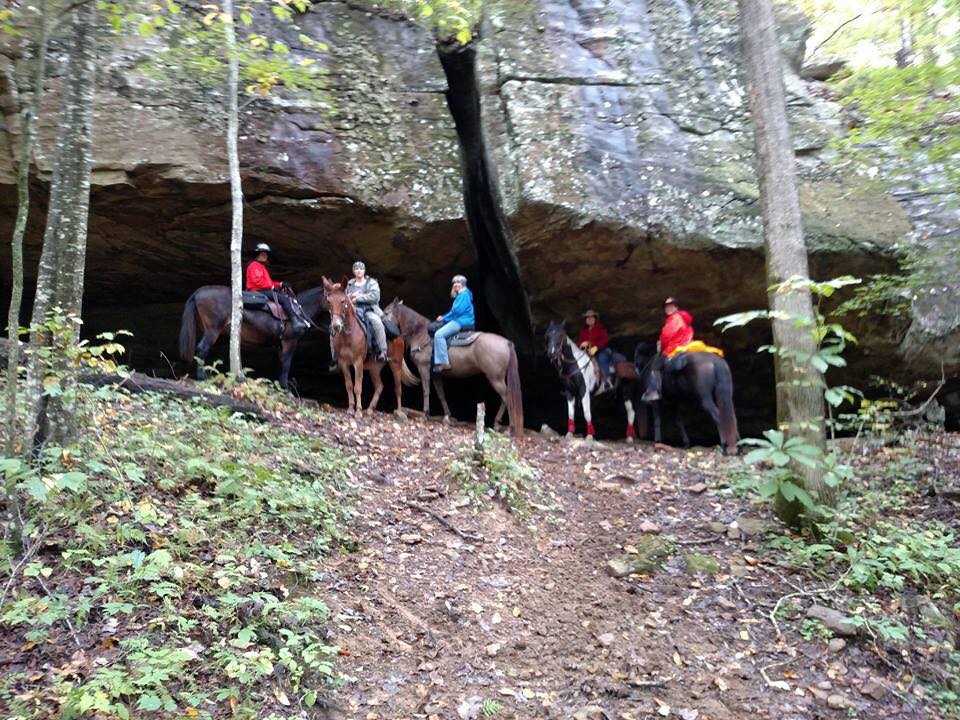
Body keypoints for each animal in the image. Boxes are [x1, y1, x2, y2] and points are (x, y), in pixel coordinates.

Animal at [178, 286, 328, 388]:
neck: (299, 311)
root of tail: (198, 292)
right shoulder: (290, 341)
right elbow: (286, 363)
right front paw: (285, 388)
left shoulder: (280, 345)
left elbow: (281, 363)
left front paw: (279, 385)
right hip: (213, 329)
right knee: (202, 349)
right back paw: (201, 377)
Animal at [322, 276, 412, 414]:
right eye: (328, 301)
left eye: (343, 301)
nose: (336, 326)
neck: (348, 335)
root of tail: (399, 334)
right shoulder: (343, 362)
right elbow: (349, 385)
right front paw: (350, 408)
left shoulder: (358, 362)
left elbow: (358, 386)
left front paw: (358, 411)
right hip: (375, 368)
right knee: (380, 386)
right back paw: (370, 409)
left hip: (395, 364)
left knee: (398, 389)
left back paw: (399, 411)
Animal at [382, 296, 524, 436]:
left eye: (386, 313)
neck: (421, 334)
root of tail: (506, 343)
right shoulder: (435, 373)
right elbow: (441, 394)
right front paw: (447, 417)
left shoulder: (424, 368)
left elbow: (426, 390)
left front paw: (425, 414)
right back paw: (498, 424)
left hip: (495, 378)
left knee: (507, 397)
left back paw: (509, 427)